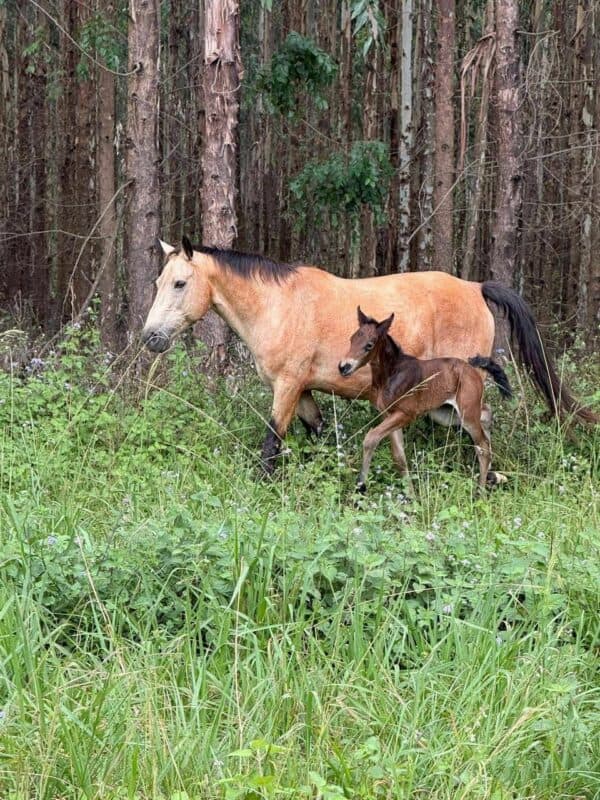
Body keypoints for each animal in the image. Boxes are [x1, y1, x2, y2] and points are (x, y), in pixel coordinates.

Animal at [141, 236, 597, 473]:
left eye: (180, 283)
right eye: (159, 282)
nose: (150, 338)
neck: (278, 305)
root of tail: (475, 287)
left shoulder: (286, 387)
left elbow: (272, 441)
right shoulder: (303, 391)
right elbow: (318, 432)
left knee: (477, 426)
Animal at [339, 307, 513, 492]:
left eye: (369, 345)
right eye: (352, 339)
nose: (343, 367)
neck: (391, 374)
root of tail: (472, 369)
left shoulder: (406, 414)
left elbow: (371, 438)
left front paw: (360, 485)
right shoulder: (389, 414)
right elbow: (398, 456)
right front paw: (411, 495)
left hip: (467, 413)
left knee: (483, 447)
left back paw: (480, 491)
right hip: (446, 414)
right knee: (486, 412)